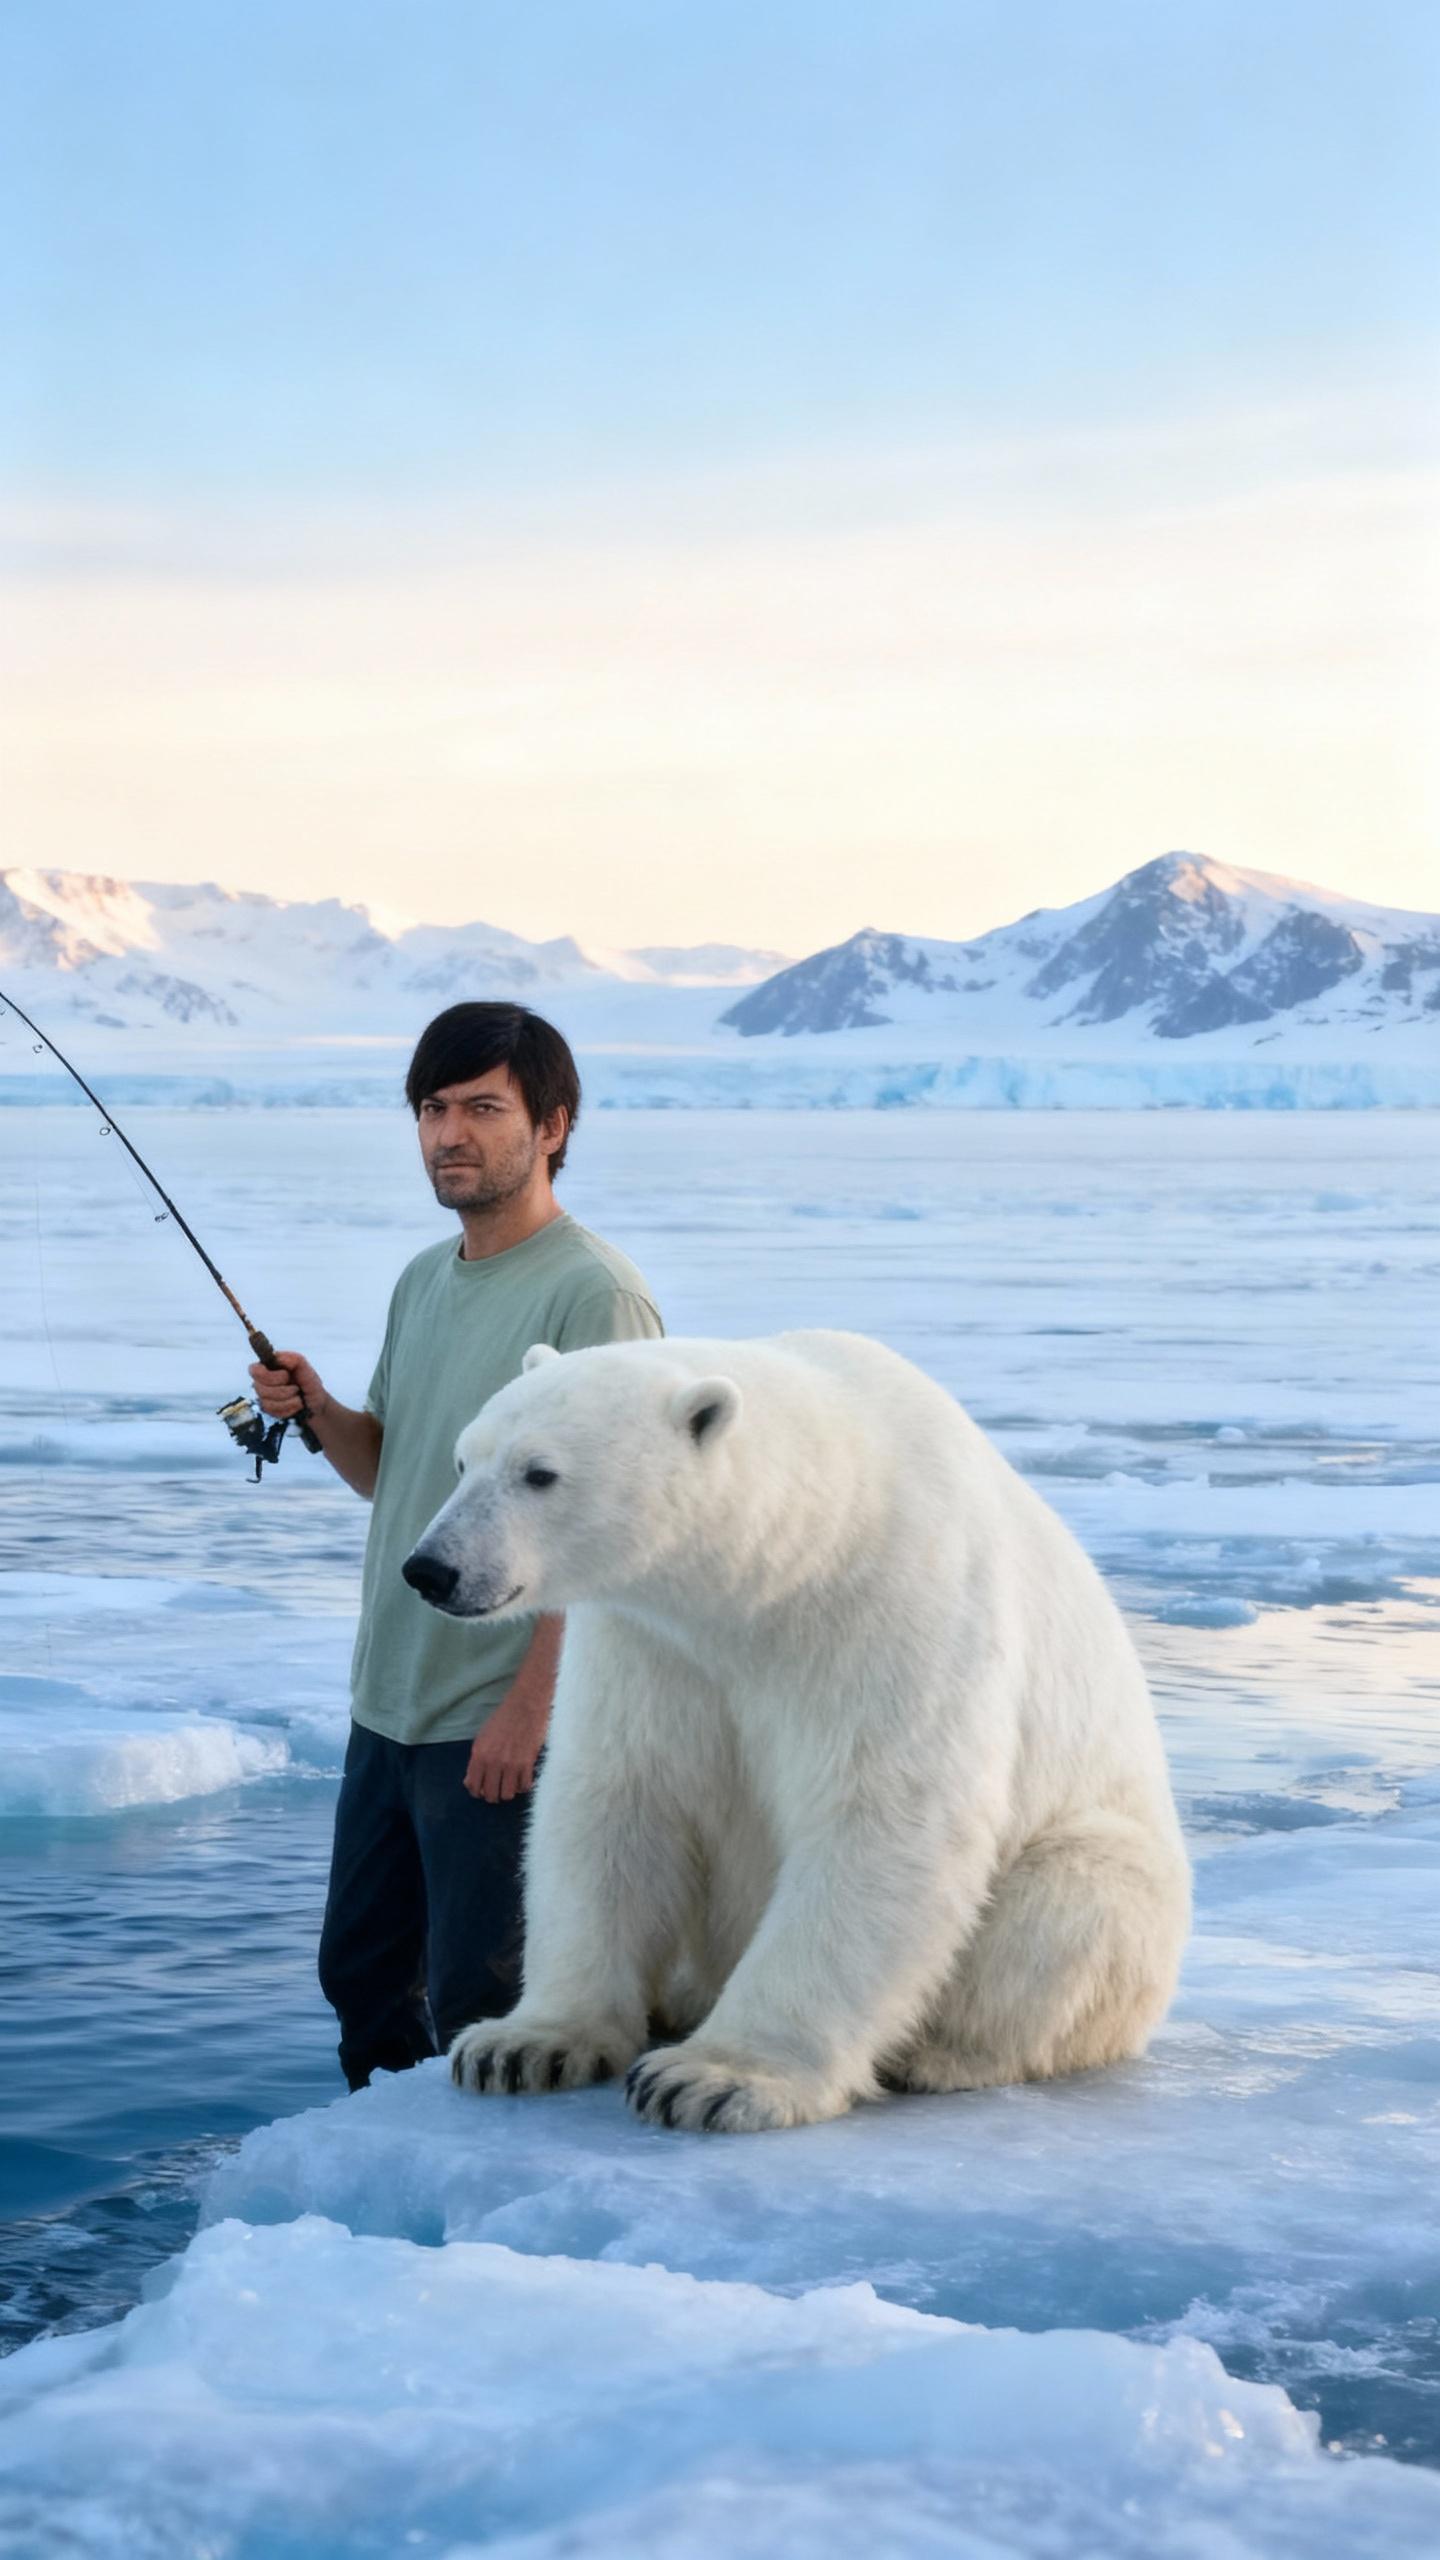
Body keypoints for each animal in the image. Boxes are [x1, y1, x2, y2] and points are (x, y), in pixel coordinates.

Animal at [402, 1330, 1191, 2134]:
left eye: (540, 1473)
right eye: (464, 1460)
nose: (432, 1569)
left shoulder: (891, 1611)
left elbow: (884, 1821)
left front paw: (712, 2080)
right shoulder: (650, 1647)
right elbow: (614, 1802)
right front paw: (521, 2046)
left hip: (1110, 1881)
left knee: (1072, 1902)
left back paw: (939, 2057)